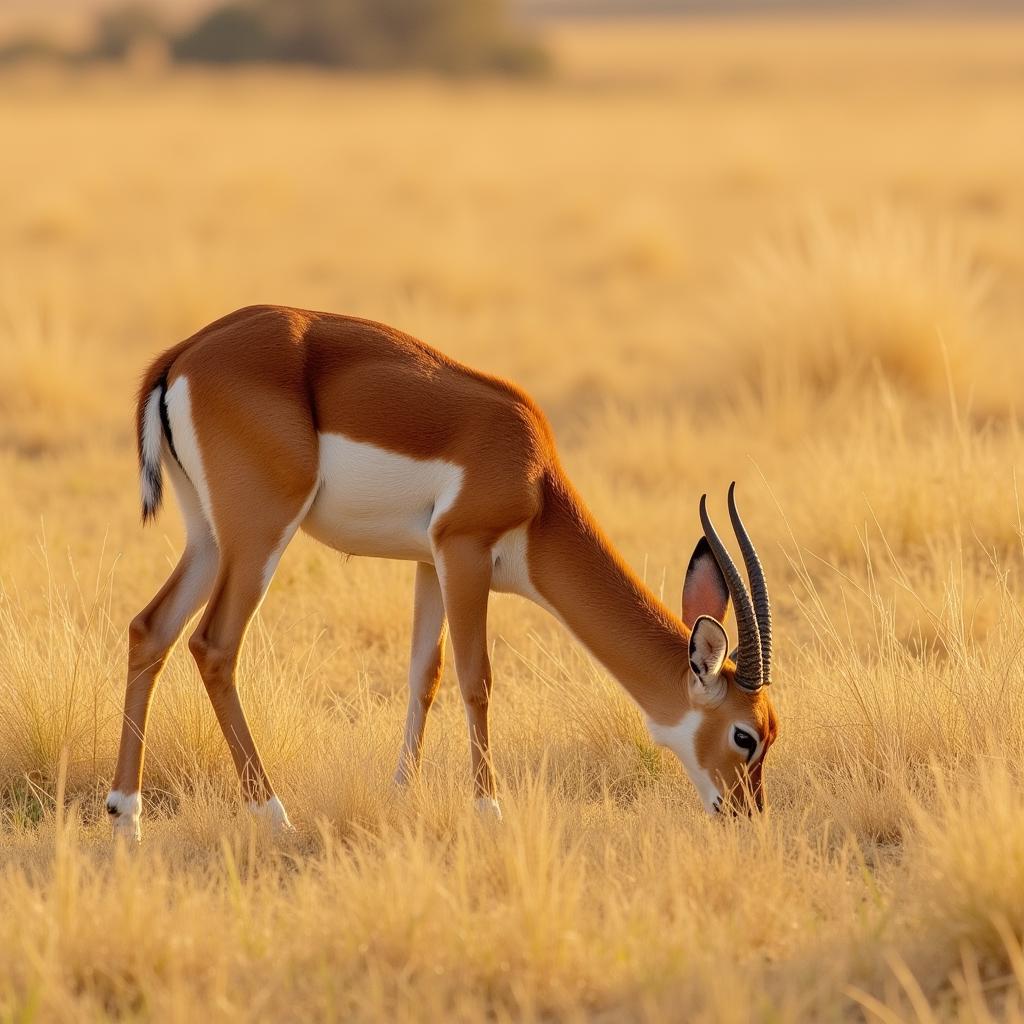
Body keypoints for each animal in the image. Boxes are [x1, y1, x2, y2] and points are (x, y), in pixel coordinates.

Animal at [105, 303, 774, 839]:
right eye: (745, 735)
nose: (746, 814)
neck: (534, 480)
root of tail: (184, 353)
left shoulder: (429, 564)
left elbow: (422, 674)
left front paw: (403, 792)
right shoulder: (464, 553)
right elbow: (477, 679)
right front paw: (489, 810)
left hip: (209, 538)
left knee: (151, 628)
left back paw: (126, 816)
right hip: (259, 536)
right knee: (213, 645)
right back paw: (275, 816)